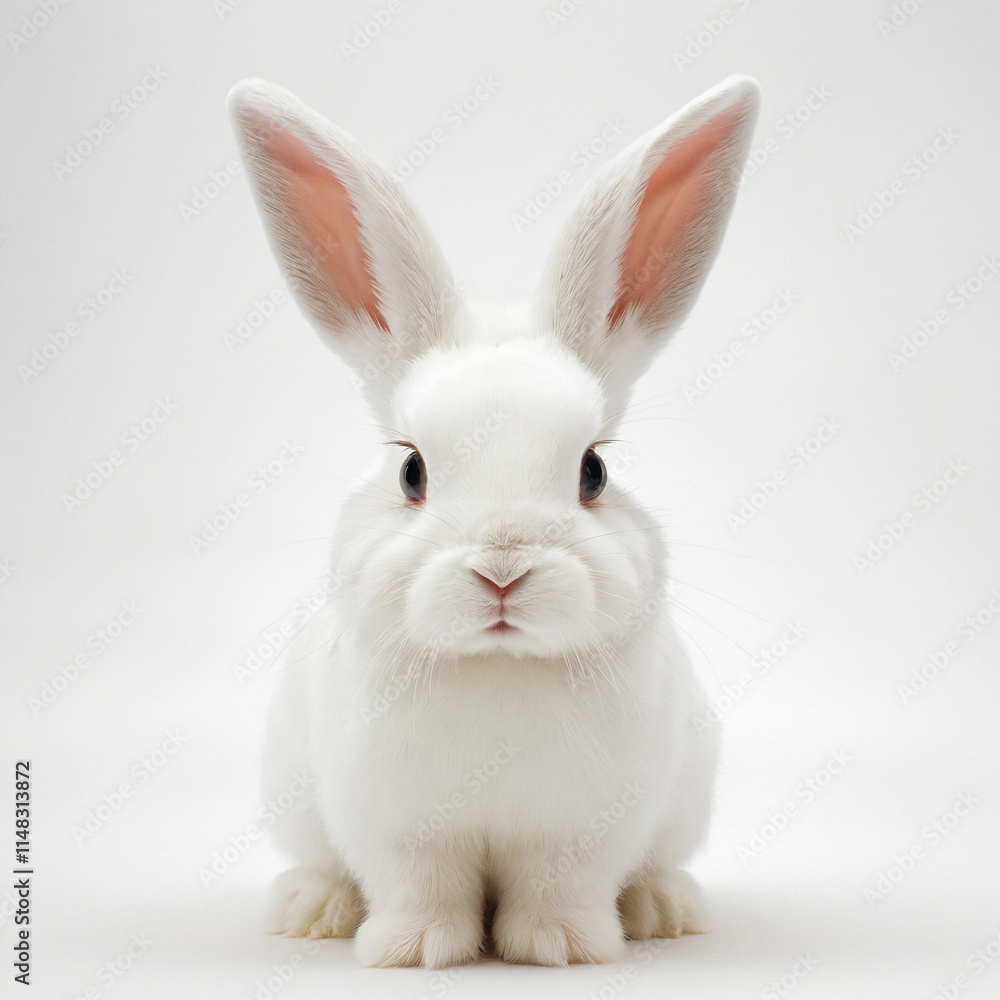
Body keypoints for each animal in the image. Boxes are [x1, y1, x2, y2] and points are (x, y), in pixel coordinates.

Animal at [228, 73, 760, 968]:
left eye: (593, 471)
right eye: (411, 471)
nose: (502, 568)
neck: (498, 668)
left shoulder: (584, 832)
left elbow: (560, 887)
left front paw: (561, 948)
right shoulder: (395, 829)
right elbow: (419, 888)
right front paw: (413, 951)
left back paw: (662, 909)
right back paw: (312, 909)